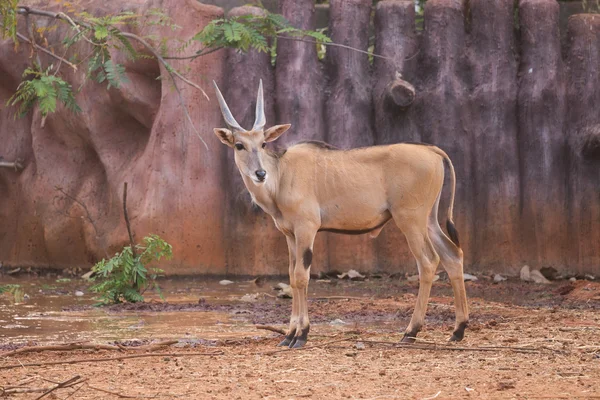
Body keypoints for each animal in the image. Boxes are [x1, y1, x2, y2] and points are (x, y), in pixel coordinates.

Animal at [213, 79, 472, 346]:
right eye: (239, 145)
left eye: (263, 144)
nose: (260, 174)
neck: (282, 173)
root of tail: (433, 151)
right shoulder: (290, 235)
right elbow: (291, 276)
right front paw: (289, 334)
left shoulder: (307, 229)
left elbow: (301, 276)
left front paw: (301, 334)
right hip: (428, 221)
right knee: (453, 256)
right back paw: (458, 330)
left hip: (410, 221)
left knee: (428, 262)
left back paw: (411, 331)